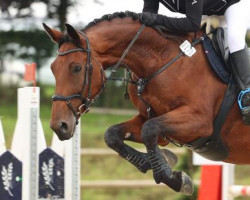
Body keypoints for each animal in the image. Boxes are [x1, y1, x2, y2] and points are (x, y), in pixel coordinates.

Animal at [43, 11, 250, 195]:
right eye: (52, 68)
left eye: (76, 68)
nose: (59, 126)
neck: (160, 60)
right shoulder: (154, 122)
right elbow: (114, 135)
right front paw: (158, 161)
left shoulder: (199, 121)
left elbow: (149, 129)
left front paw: (173, 178)